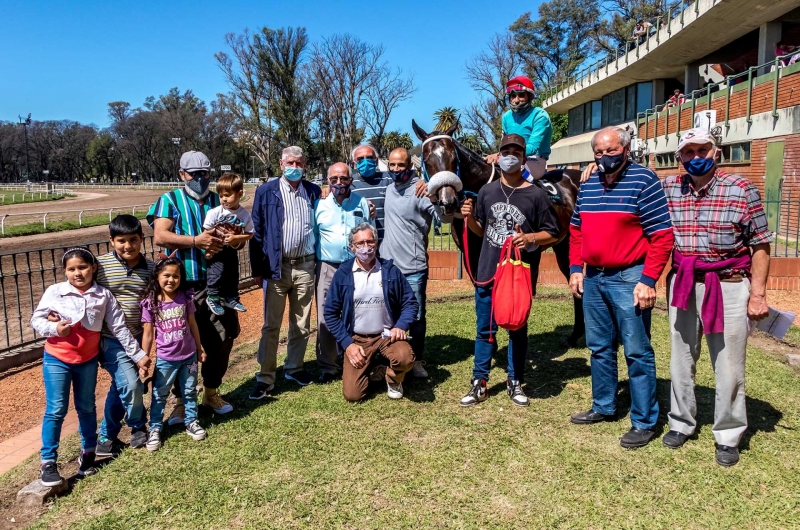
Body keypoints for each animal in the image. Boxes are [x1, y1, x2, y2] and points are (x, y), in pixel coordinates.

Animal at [416, 118, 584, 346]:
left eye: (453, 157)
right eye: (427, 160)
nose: (448, 202)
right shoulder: (472, 257)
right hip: (563, 245)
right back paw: (574, 335)